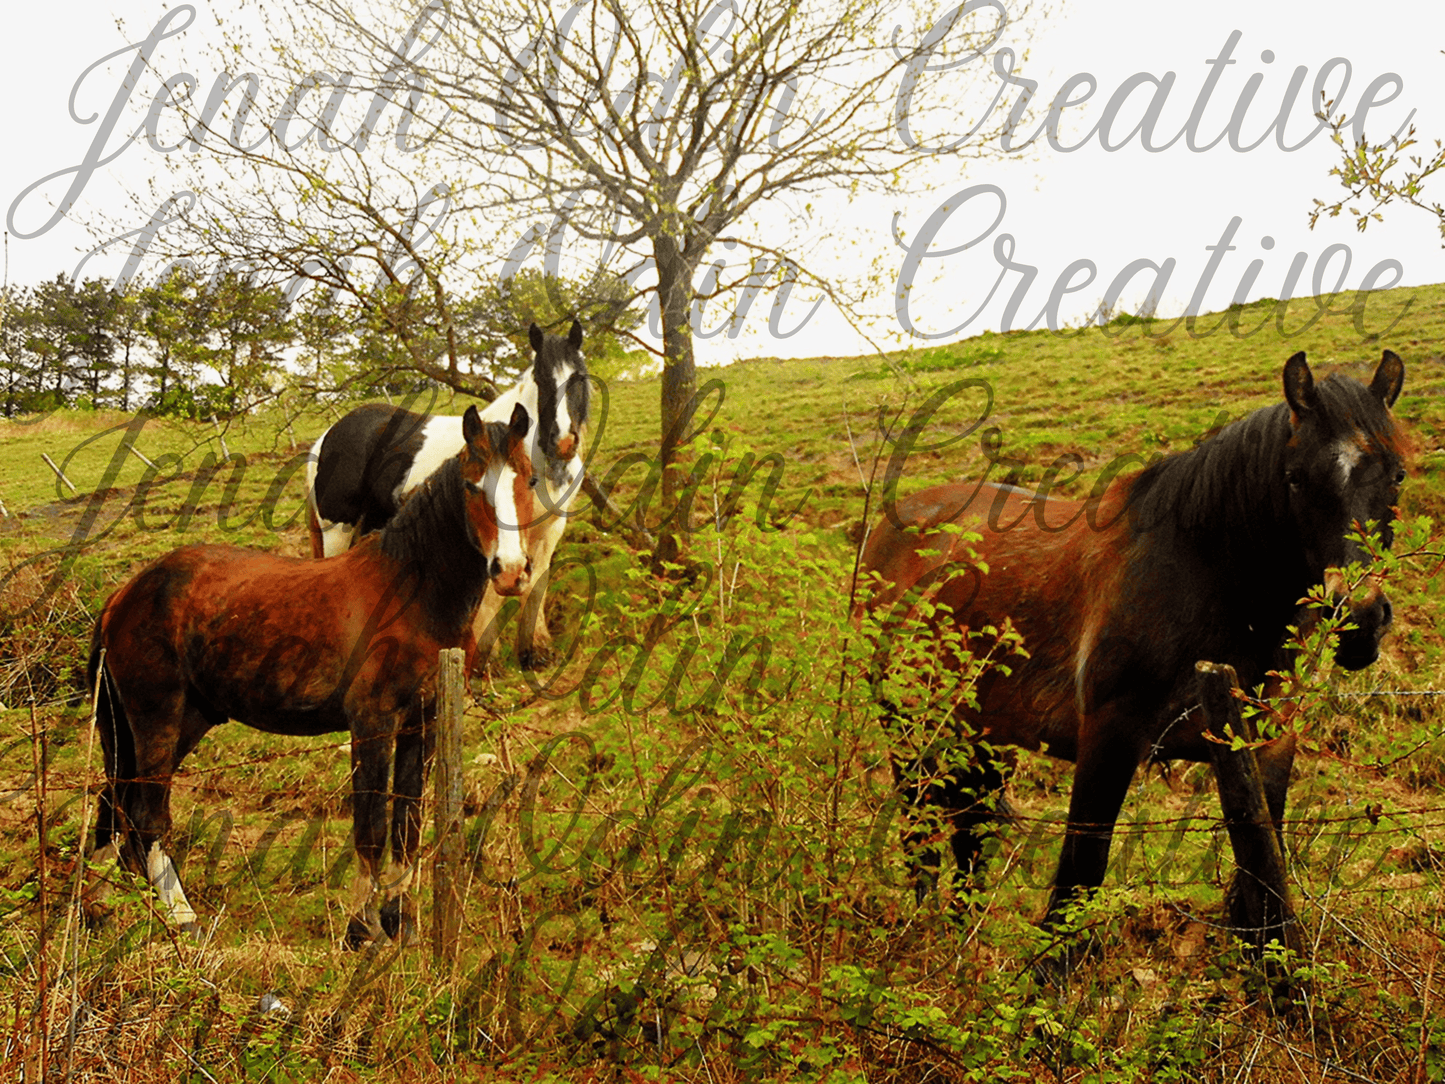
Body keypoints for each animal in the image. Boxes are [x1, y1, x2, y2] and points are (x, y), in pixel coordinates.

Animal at [87, 403, 535, 946]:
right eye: (473, 485)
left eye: (529, 479)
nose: (510, 571)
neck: (409, 591)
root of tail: (125, 594)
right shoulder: (372, 723)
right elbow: (371, 827)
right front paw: (362, 931)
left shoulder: (422, 723)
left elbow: (407, 823)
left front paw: (401, 924)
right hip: (158, 720)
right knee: (146, 816)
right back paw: (184, 919)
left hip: (174, 723)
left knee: (113, 805)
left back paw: (102, 911)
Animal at [306, 320, 590, 669]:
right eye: (542, 380)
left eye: (579, 378)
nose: (563, 441)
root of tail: (327, 436)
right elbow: (492, 594)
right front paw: (483, 657)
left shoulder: (548, 530)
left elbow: (536, 585)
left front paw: (536, 652)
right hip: (336, 530)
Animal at [859, 351, 1407, 927]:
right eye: (1296, 478)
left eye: (1397, 474)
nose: (1359, 619)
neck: (1204, 574)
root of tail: (894, 525)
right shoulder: (1109, 738)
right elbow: (1079, 876)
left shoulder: (1269, 750)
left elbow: (1263, 877)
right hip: (908, 730)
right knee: (920, 830)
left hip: (985, 736)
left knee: (969, 832)